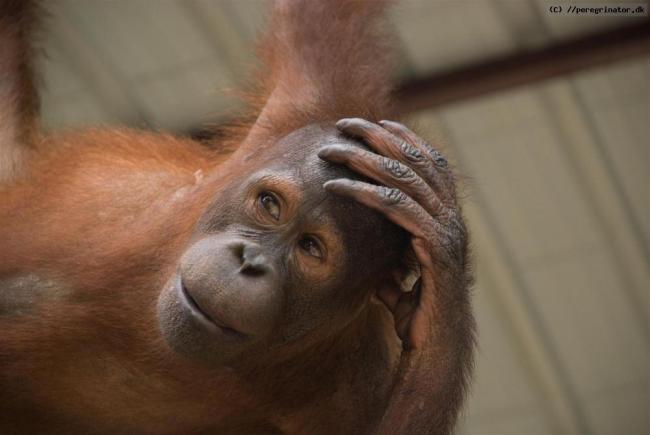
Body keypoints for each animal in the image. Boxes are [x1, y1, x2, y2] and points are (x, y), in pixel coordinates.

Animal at [0, 0, 474, 434]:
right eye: (270, 205)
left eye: (310, 247)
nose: (249, 260)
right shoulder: (309, 105)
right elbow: (319, 17)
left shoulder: (351, 388)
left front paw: (440, 256)